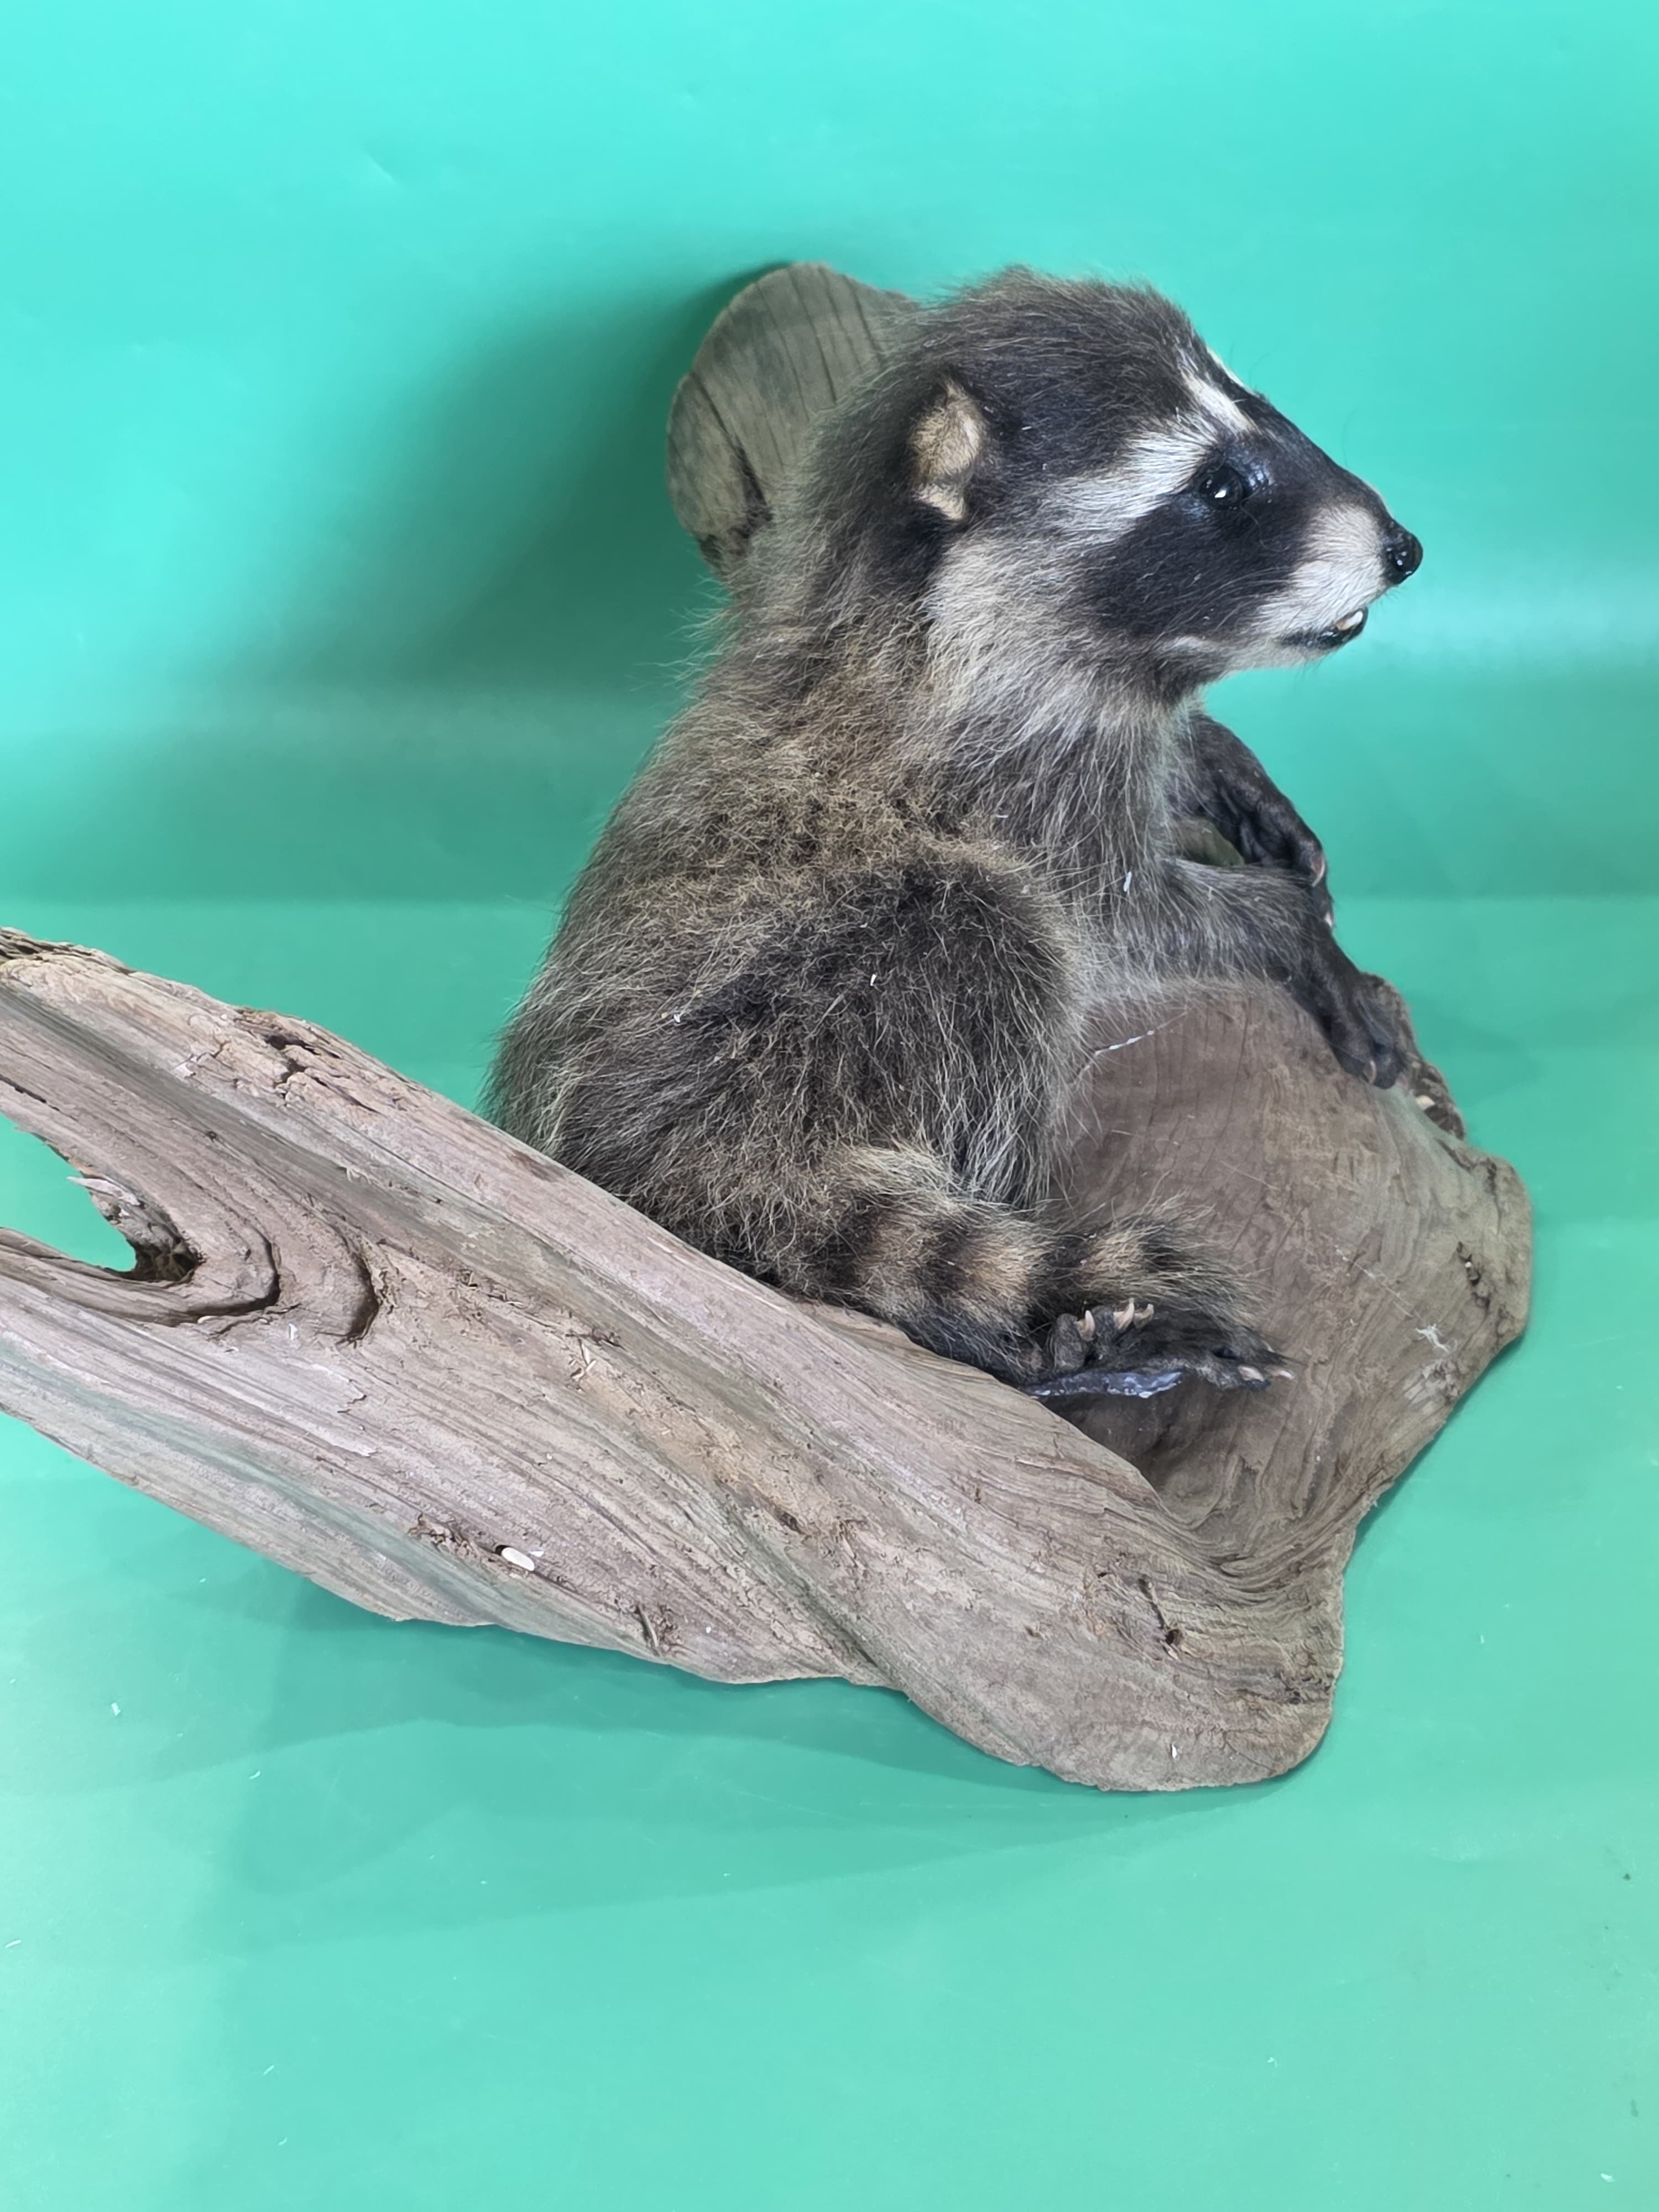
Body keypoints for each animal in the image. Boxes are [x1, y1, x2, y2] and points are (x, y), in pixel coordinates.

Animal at [489, 271, 1432, 1402]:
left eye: (1265, 411)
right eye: (1219, 490)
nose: (1404, 550)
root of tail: (621, 1155)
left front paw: (1220, 763)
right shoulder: (1012, 785)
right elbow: (1118, 918)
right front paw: (1291, 931)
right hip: (776, 1020)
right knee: (991, 935)